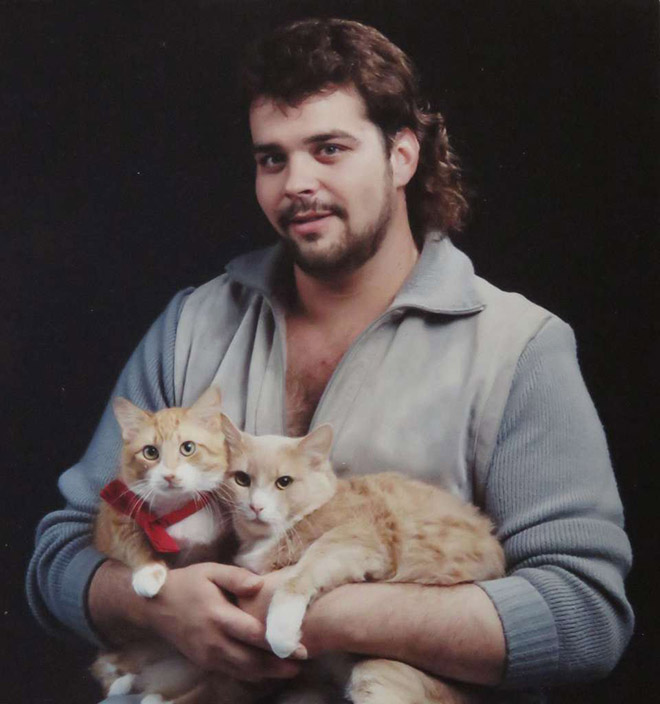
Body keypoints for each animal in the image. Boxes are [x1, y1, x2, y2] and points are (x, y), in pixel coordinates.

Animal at [222, 418, 506, 704]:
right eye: (242, 479)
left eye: (284, 482)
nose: (256, 507)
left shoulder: (358, 540)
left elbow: (300, 575)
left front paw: (281, 633)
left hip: (378, 672)